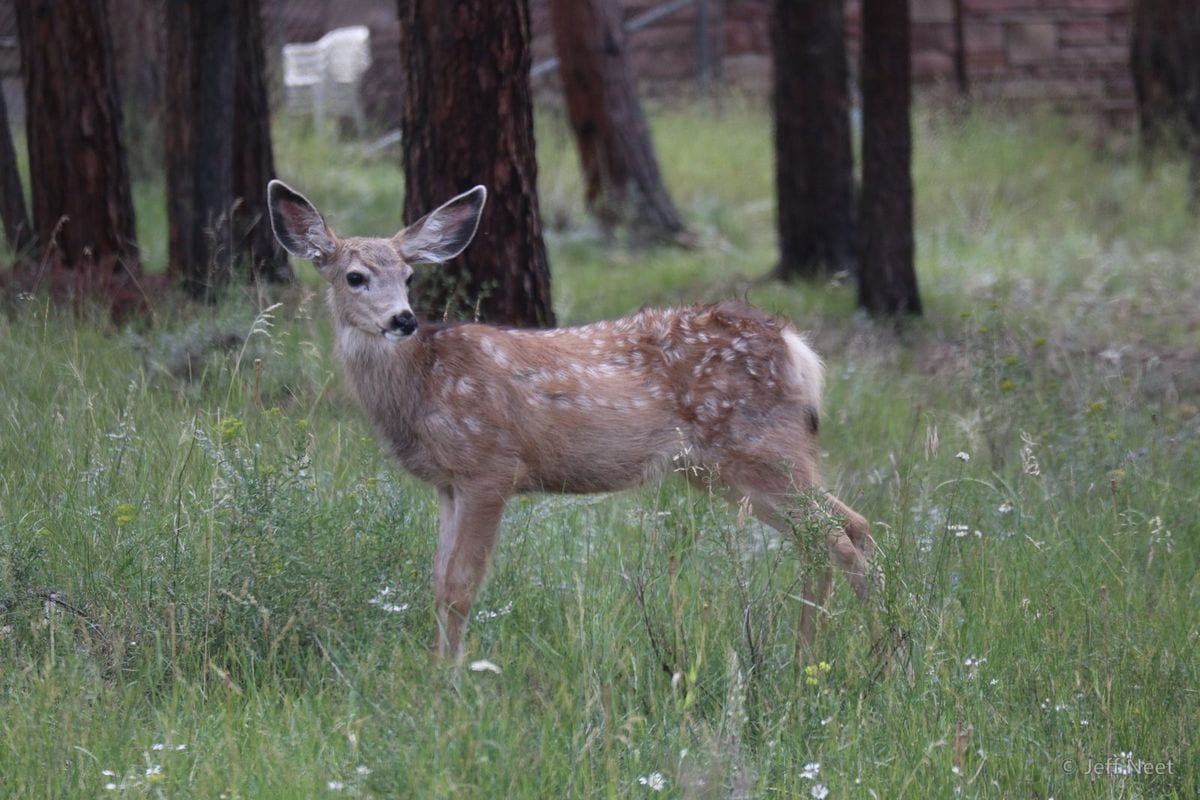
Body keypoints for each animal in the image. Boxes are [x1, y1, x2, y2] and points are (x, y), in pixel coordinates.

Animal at [267, 179, 876, 661]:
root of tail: (796, 347)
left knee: (835, 537)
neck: (424, 387)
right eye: (354, 277)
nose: (403, 319)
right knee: (846, 527)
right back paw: (822, 656)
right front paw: (435, 670)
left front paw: (449, 684)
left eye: (409, 276)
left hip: (759, 447)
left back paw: (865, 660)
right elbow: (437, 582)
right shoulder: (447, 484)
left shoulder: (492, 467)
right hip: (726, 468)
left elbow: (461, 586)